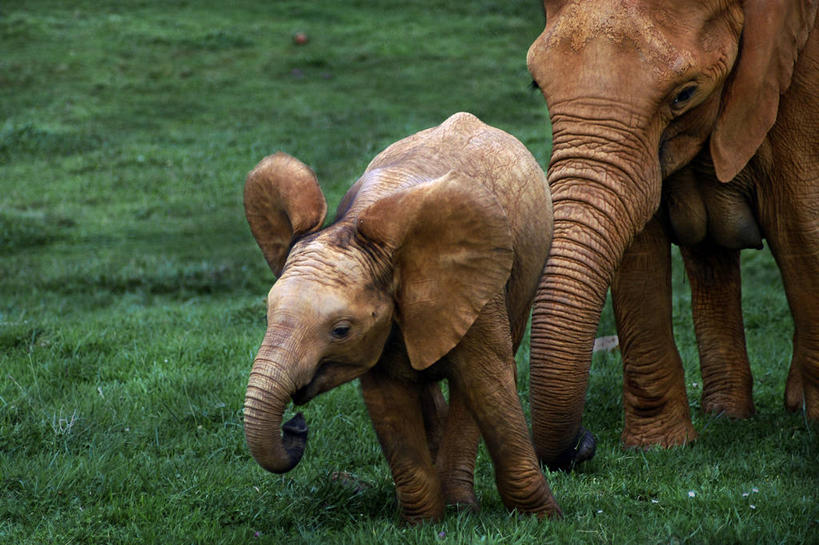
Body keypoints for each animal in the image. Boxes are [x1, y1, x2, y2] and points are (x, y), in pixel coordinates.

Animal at [243, 111, 560, 524]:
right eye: (268, 315)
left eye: (341, 330)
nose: (295, 425)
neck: (357, 227)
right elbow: (389, 401)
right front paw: (423, 524)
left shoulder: (475, 288)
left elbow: (488, 383)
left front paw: (545, 518)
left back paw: (461, 503)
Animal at [524, 0, 819, 468]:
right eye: (536, 84)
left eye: (685, 94)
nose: (584, 443)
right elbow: (639, 255)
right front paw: (661, 447)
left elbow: (799, 228)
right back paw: (727, 415)